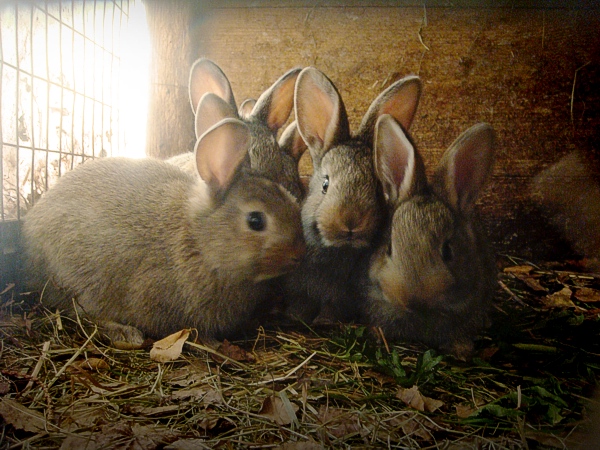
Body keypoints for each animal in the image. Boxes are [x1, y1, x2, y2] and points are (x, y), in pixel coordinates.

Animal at [21, 117, 308, 344]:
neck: (200, 241)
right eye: (256, 221)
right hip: (77, 281)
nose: (299, 255)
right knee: (77, 311)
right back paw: (126, 334)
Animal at [282, 67, 422, 324]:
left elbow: (332, 307)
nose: (351, 222)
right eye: (325, 184)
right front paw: (296, 317)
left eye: (378, 189)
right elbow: (301, 303)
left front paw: (325, 321)